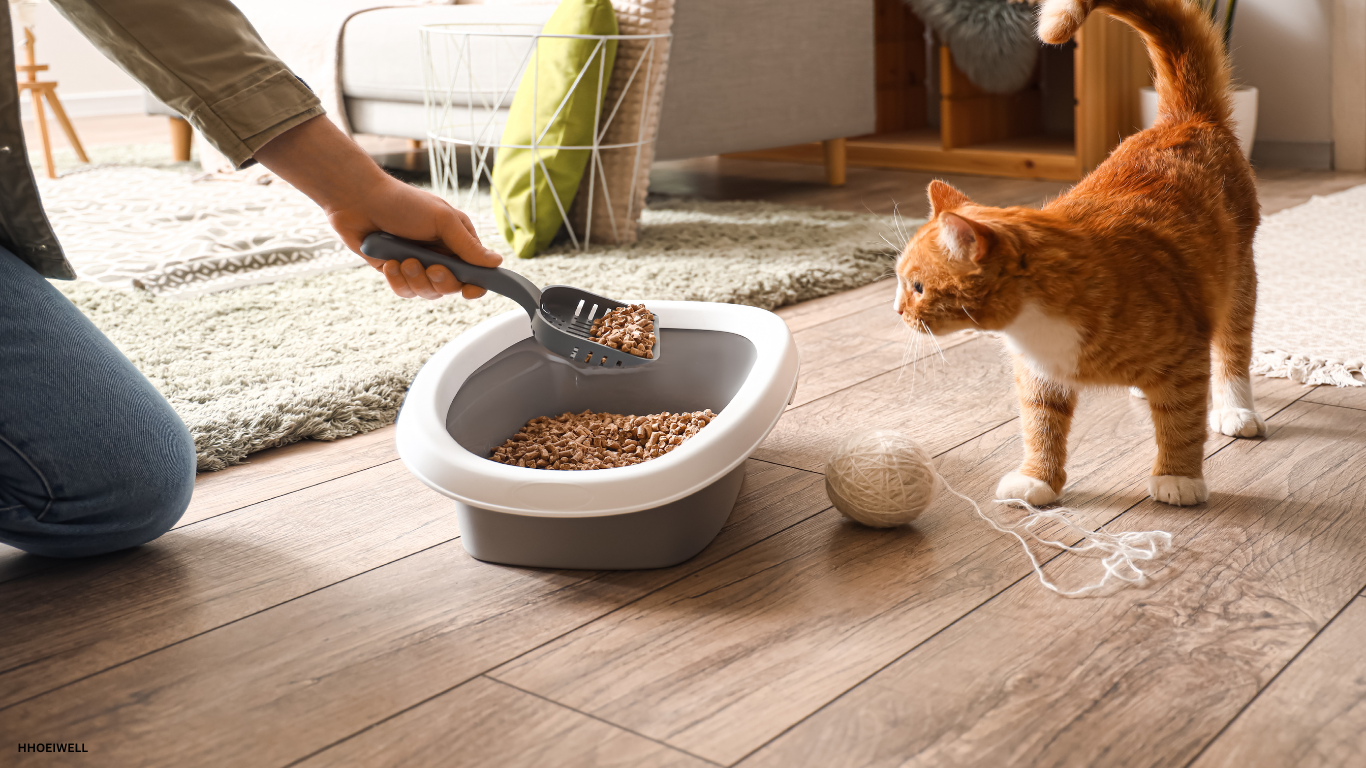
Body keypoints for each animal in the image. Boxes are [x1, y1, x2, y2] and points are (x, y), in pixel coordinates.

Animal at [890, 0, 1262, 505]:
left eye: (918, 287)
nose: (896, 310)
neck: (1033, 322)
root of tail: (1185, 117)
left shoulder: (1184, 357)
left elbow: (1181, 424)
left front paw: (1177, 478)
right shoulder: (1039, 376)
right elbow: (1041, 427)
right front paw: (1037, 479)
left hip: (1238, 282)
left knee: (1231, 351)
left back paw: (1235, 409)